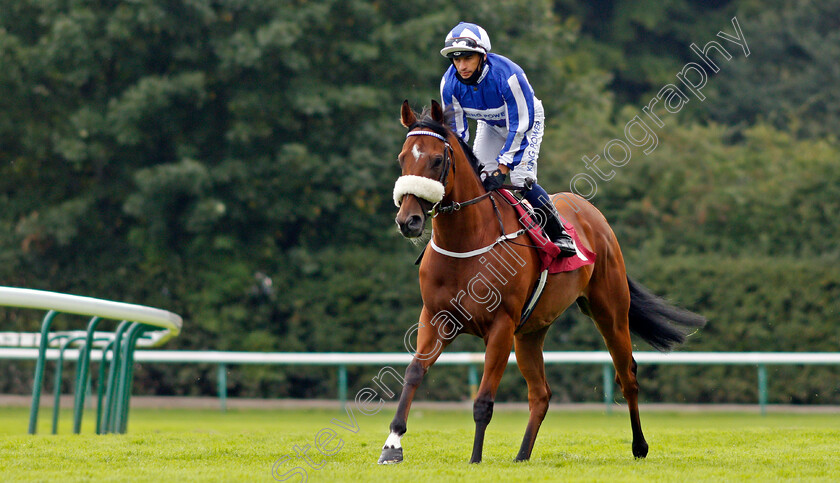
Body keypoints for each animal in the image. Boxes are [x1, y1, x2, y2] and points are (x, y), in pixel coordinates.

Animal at [382, 101, 708, 466]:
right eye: (402, 158)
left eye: (437, 160)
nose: (408, 220)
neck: (466, 242)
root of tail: (592, 213)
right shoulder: (436, 318)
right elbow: (413, 372)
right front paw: (392, 444)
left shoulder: (500, 327)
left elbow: (483, 401)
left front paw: (475, 459)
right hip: (531, 332)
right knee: (541, 394)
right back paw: (522, 455)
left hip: (609, 312)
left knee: (627, 377)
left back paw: (639, 446)